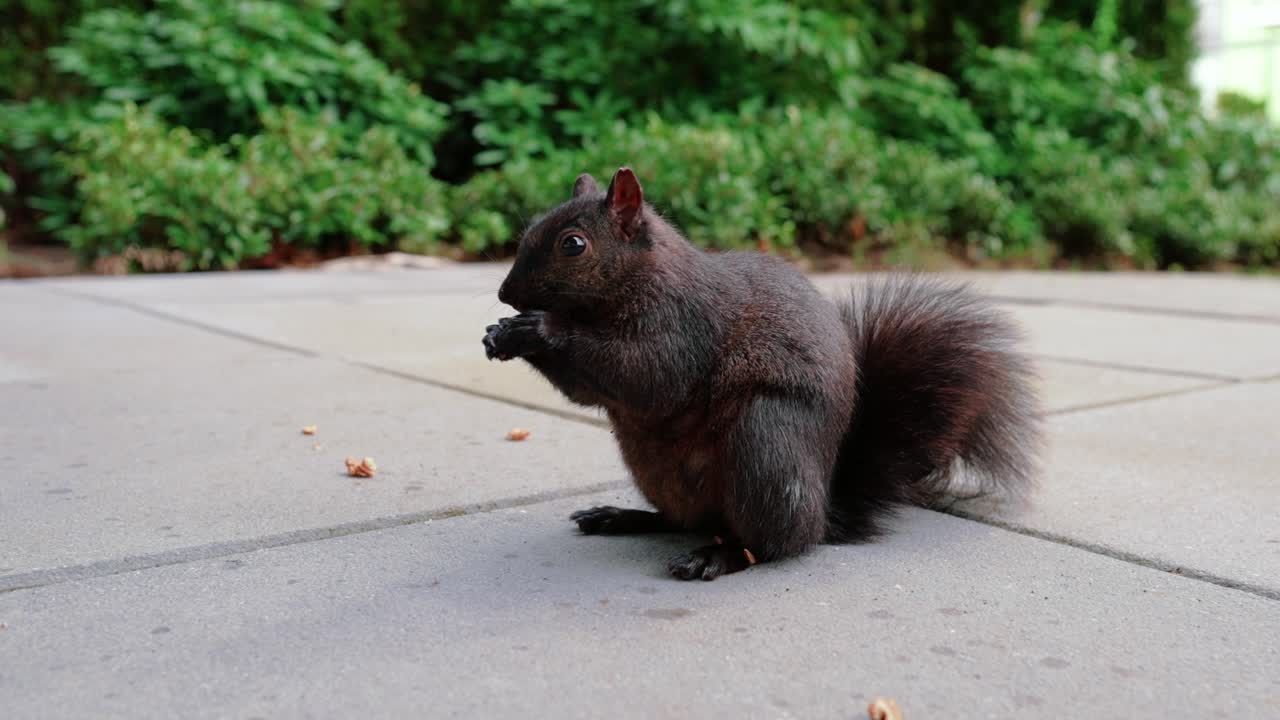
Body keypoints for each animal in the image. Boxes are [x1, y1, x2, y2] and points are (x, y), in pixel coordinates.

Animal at [483, 167, 1042, 581]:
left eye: (573, 244)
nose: (506, 294)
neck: (640, 279)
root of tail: (822, 507)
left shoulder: (682, 325)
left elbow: (646, 375)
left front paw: (536, 329)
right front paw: (500, 334)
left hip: (765, 444)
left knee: (774, 544)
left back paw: (719, 556)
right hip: (653, 468)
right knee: (680, 519)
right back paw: (622, 517)